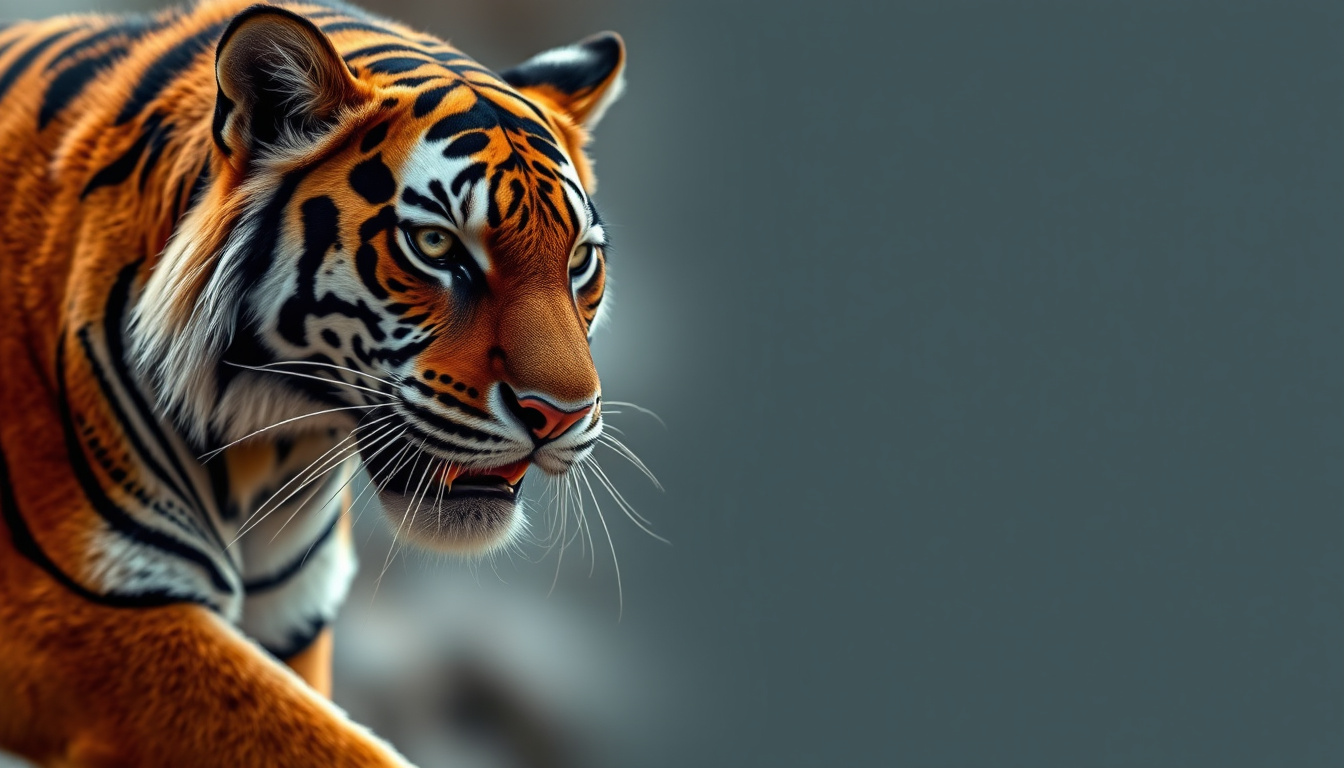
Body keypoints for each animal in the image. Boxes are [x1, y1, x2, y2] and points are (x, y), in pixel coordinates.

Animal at [0, 0, 625, 763]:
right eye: (437, 245)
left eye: (580, 260)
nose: (562, 415)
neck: (270, 449)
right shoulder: (80, 610)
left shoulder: (292, 623)